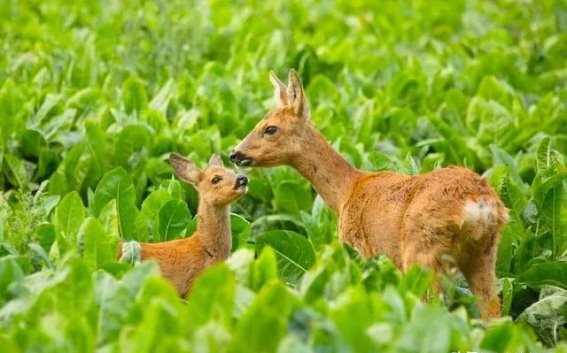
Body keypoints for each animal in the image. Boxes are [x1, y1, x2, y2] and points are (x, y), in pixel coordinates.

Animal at [231, 69, 510, 320]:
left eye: (270, 128)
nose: (235, 153)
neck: (348, 190)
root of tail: (479, 205)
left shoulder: (360, 249)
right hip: (484, 255)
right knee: (493, 315)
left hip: (421, 254)